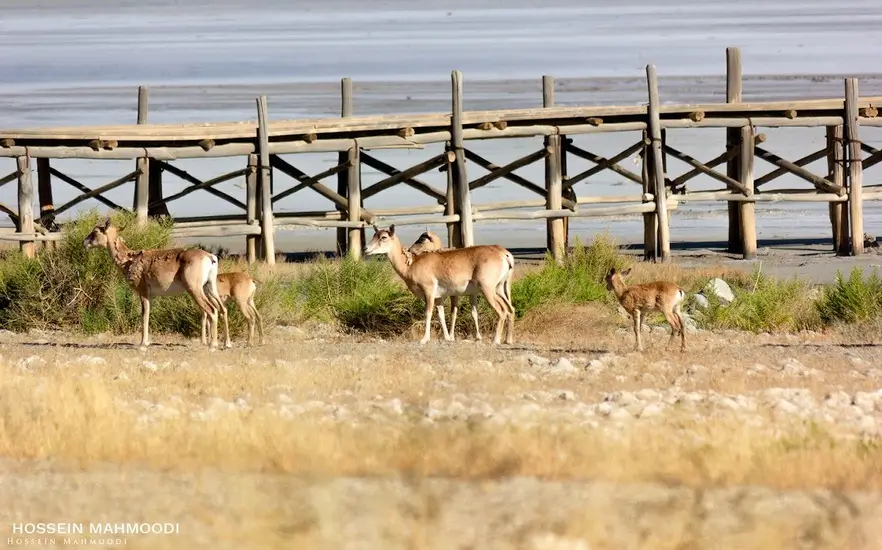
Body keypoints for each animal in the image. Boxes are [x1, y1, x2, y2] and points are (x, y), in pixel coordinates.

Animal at [82, 219, 230, 352]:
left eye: (95, 231)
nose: (84, 242)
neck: (129, 259)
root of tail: (210, 257)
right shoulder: (151, 296)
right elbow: (148, 314)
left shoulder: (143, 293)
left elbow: (144, 314)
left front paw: (142, 344)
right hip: (209, 288)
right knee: (222, 309)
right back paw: (226, 344)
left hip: (195, 290)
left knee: (211, 310)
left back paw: (212, 346)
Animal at [364, 224, 516, 344]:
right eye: (374, 235)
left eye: (383, 237)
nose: (366, 249)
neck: (411, 264)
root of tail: (504, 254)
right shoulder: (439, 298)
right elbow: (441, 316)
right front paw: (448, 338)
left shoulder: (429, 292)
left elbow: (428, 313)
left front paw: (424, 339)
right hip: (500, 289)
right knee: (510, 309)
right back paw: (508, 340)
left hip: (487, 290)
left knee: (501, 310)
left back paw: (495, 340)